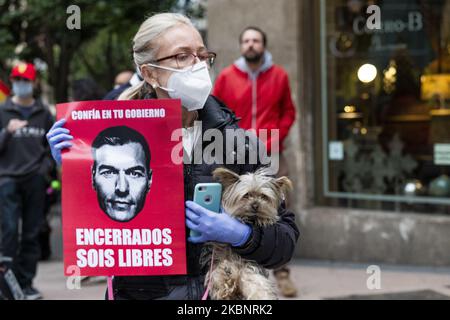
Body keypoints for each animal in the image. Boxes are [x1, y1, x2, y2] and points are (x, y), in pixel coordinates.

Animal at [202, 168, 294, 300]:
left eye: (263, 196)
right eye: (246, 195)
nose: (255, 205)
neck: (250, 219)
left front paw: (264, 219)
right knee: (221, 276)